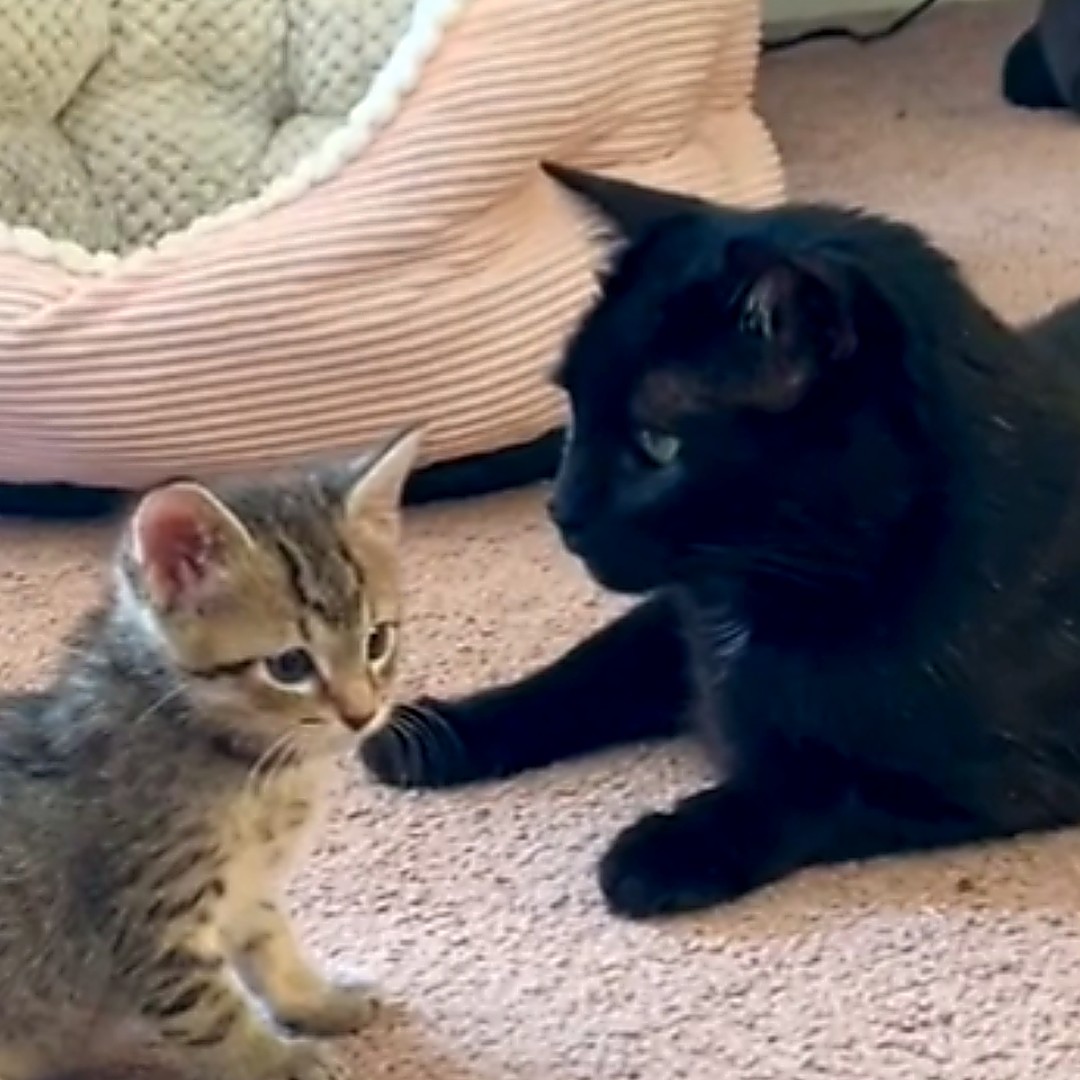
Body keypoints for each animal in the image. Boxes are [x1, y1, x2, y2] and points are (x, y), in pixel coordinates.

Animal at [0, 426, 421, 1080]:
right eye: (289, 665)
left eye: (377, 641)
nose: (362, 713)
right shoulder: (156, 927)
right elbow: (216, 1017)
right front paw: (284, 1063)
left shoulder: (251, 893)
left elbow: (274, 951)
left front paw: (320, 1001)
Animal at [361, 162, 1080, 920]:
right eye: (572, 406)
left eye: (658, 443)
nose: (560, 510)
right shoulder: (678, 621)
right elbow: (578, 676)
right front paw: (435, 733)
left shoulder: (1000, 778)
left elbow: (812, 787)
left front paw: (667, 848)